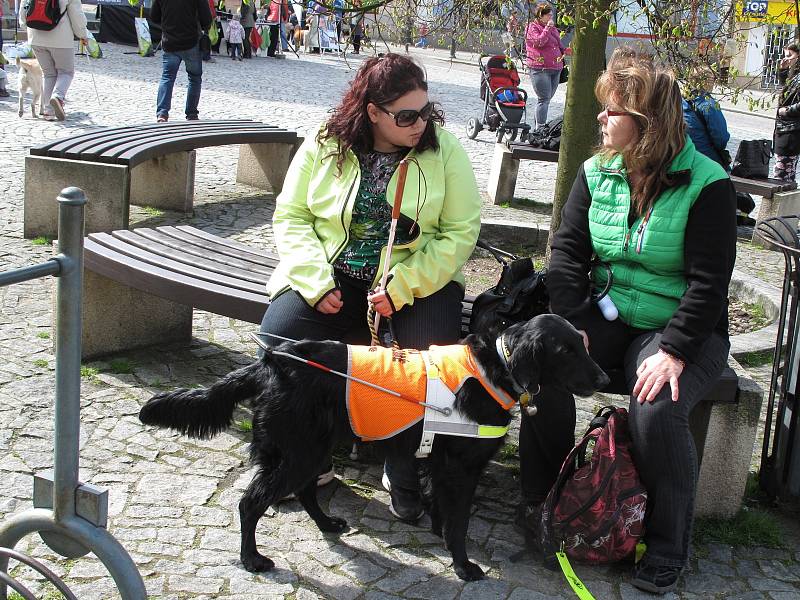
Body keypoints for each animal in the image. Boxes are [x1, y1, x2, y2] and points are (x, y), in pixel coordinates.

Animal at [141, 314, 608, 580]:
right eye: (566, 349)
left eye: (583, 344)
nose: (604, 379)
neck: (496, 368)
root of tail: (272, 363)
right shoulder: (461, 467)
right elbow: (459, 522)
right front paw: (463, 566)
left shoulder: (441, 463)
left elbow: (441, 510)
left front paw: (439, 536)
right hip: (299, 453)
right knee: (250, 503)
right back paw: (252, 559)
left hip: (313, 448)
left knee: (307, 491)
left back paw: (327, 524)